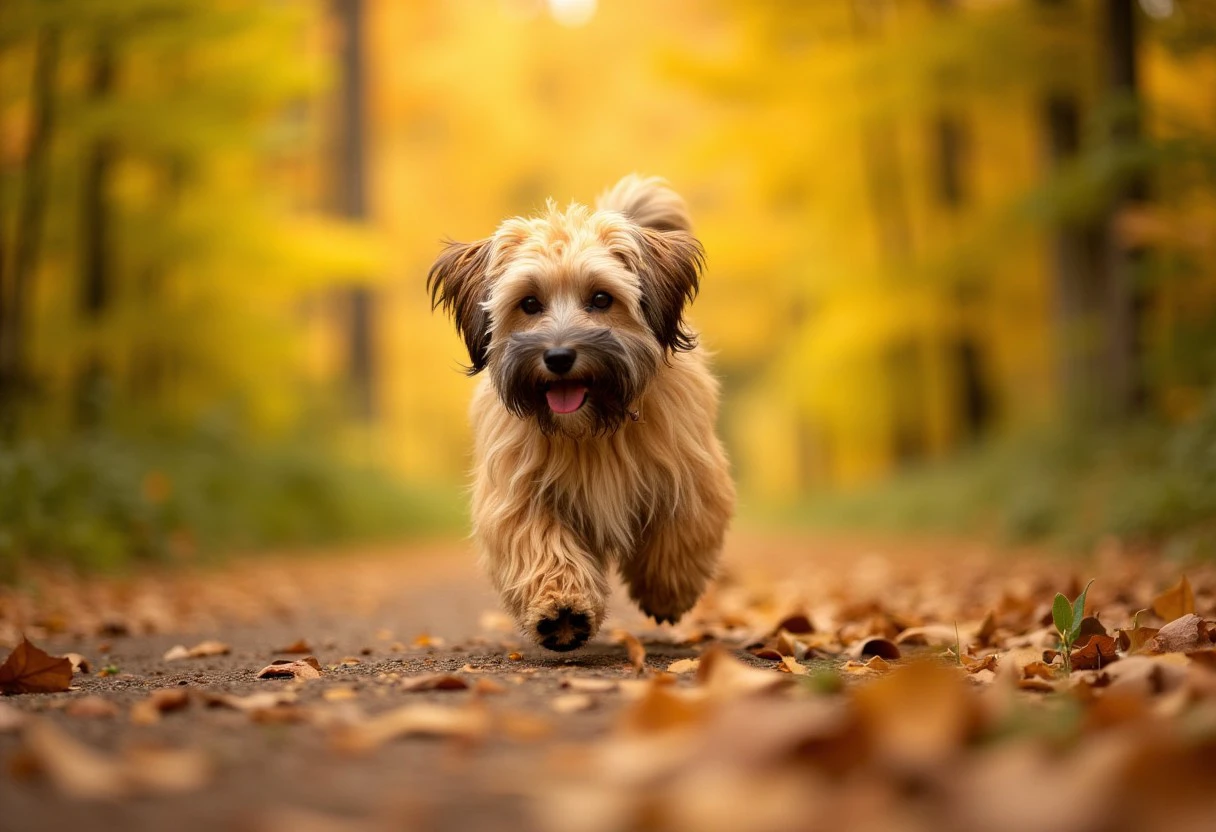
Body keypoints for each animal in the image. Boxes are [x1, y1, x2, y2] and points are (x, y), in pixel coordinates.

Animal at [425, 178, 729, 651]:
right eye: (529, 303)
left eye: (601, 298)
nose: (559, 357)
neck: (592, 430)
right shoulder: (518, 492)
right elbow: (539, 541)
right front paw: (562, 611)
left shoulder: (690, 472)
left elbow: (681, 530)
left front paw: (665, 590)